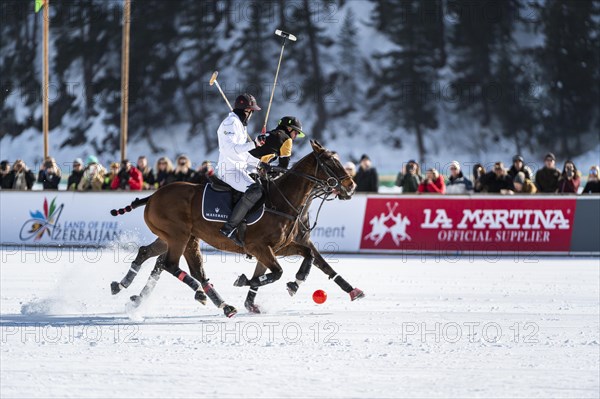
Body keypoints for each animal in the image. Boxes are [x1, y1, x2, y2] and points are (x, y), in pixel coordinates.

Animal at [109, 142, 364, 318]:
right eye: (329, 162)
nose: (351, 186)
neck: (282, 202)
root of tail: (153, 196)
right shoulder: (259, 246)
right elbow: (276, 272)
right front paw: (246, 282)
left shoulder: (280, 246)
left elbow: (311, 257)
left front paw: (295, 283)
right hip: (178, 235)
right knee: (170, 264)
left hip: (179, 237)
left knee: (155, 257)